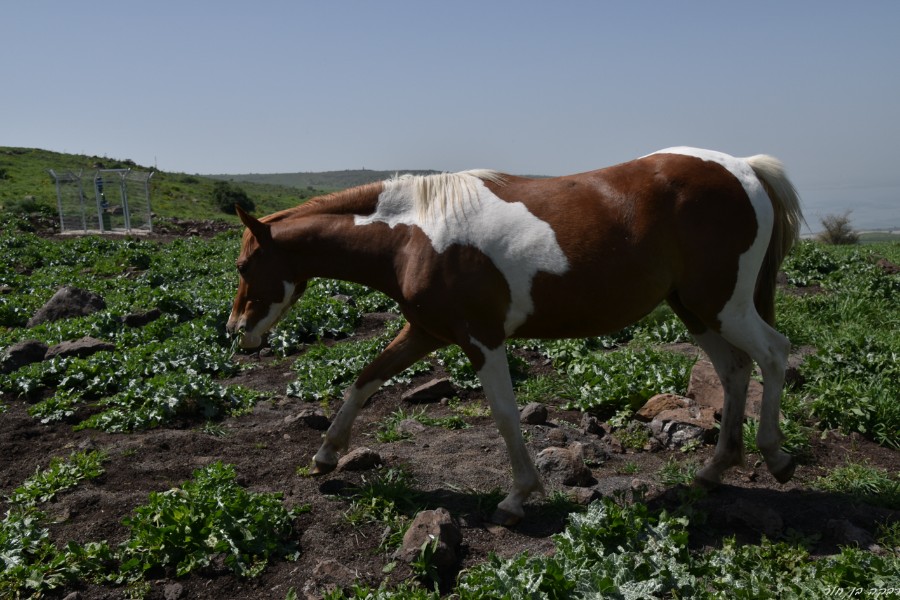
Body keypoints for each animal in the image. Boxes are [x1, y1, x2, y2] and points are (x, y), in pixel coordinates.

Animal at [229, 146, 804, 524]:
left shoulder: (481, 340)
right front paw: (326, 455)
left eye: (243, 266)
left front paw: (518, 496)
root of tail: (745, 167)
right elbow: (364, 380)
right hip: (697, 310)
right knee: (734, 370)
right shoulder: (425, 332)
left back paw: (776, 458)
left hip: (723, 306)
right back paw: (714, 470)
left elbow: (504, 414)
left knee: (774, 354)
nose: (236, 332)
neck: (414, 235)